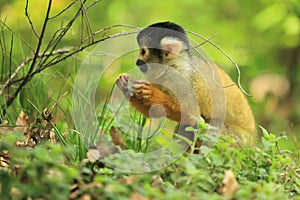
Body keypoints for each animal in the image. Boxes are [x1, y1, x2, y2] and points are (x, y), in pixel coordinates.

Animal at [116, 22, 256, 147]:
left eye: (143, 52)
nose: (137, 61)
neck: (172, 66)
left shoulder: (180, 79)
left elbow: (191, 113)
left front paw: (151, 93)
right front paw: (125, 84)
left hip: (235, 141)